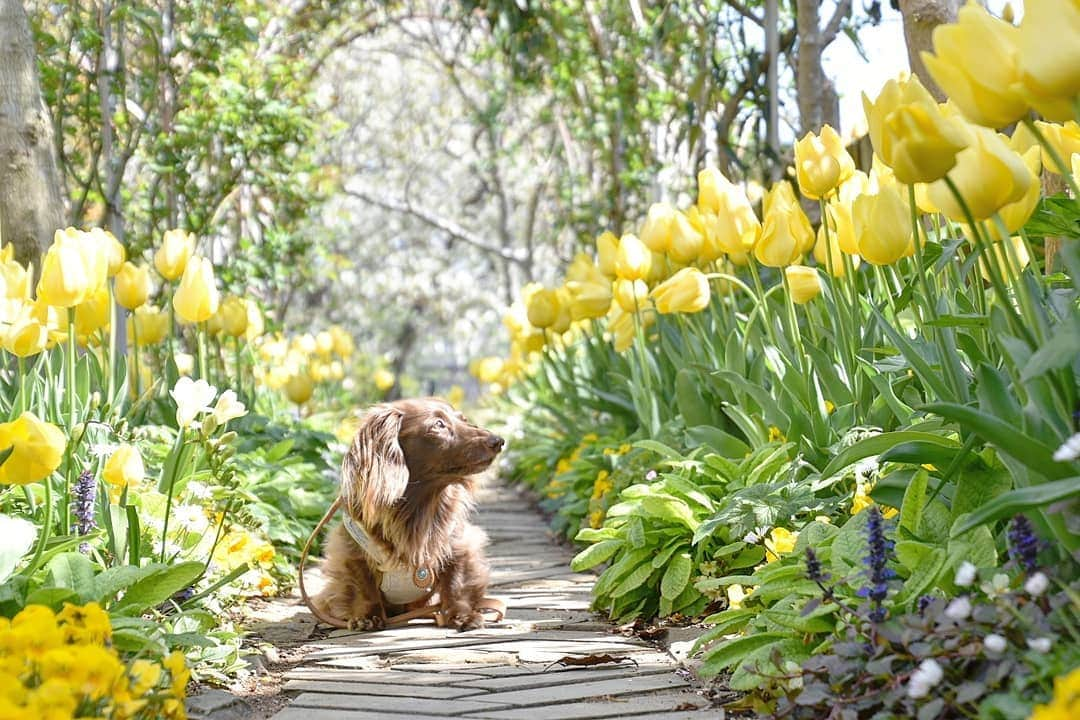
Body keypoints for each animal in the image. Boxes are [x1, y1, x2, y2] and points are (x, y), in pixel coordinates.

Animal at [308, 399, 501, 630]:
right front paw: (367, 617)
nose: (498, 441)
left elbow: (457, 582)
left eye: (463, 419)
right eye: (438, 424)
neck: (417, 506)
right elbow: (362, 585)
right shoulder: (349, 548)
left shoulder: (460, 544)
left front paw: (462, 615)